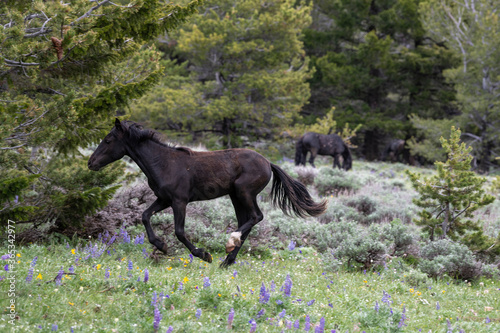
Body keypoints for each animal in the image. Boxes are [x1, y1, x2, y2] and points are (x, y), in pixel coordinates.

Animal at [88, 119, 326, 268]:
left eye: (108, 140)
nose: (91, 163)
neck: (163, 163)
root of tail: (268, 162)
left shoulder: (179, 201)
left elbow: (179, 232)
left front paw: (204, 255)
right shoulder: (164, 199)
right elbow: (145, 215)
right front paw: (161, 246)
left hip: (244, 192)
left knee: (256, 217)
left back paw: (229, 244)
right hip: (235, 196)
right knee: (246, 221)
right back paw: (227, 261)